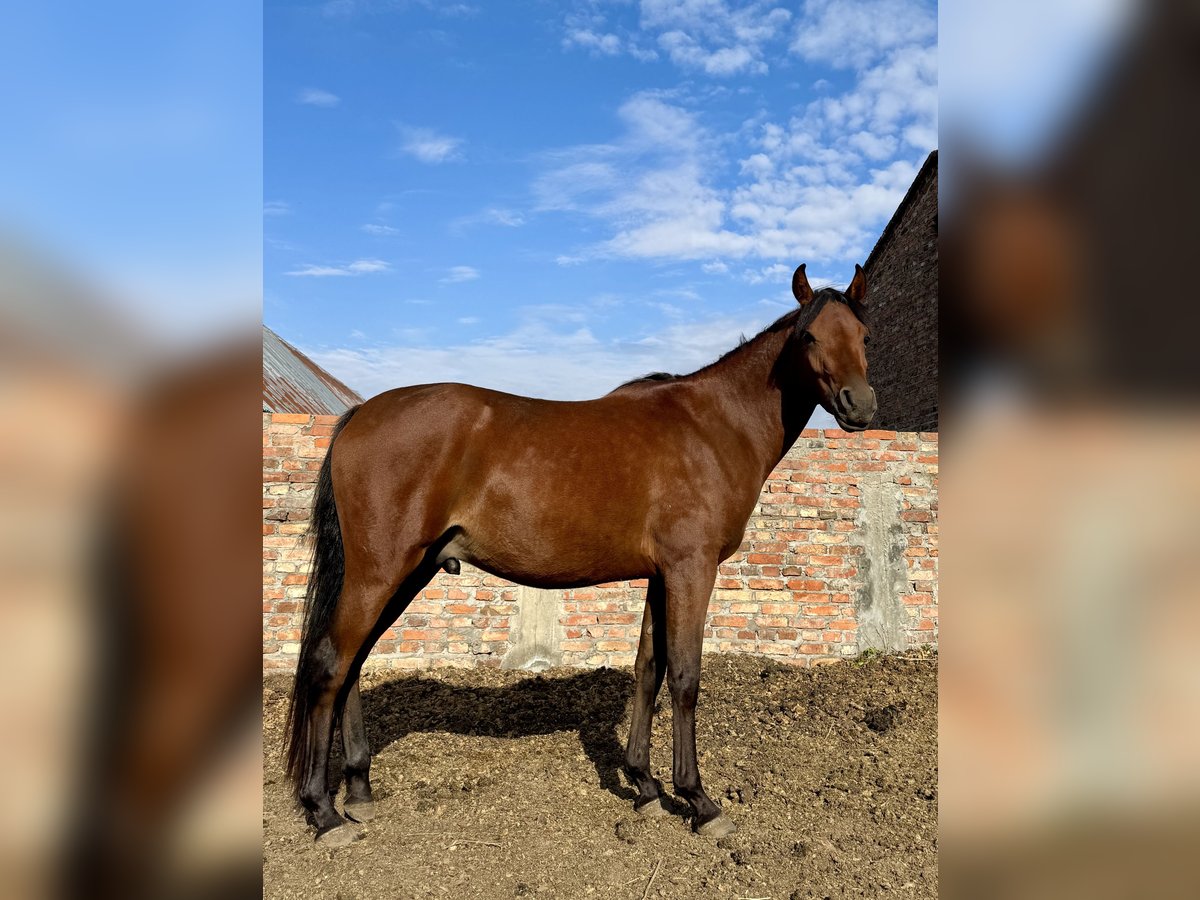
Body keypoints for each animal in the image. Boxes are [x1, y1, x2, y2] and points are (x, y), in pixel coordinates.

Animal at [285, 263, 876, 845]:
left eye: (864, 335)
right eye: (809, 336)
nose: (860, 405)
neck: (711, 426)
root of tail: (361, 414)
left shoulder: (661, 574)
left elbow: (649, 668)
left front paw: (643, 785)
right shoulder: (691, 569)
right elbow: (684, 676)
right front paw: (699, 800)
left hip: (406, 573)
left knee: (352, 664)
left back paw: (358, 792)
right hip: (379, 572)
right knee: (329, 664)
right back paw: (322, 810)